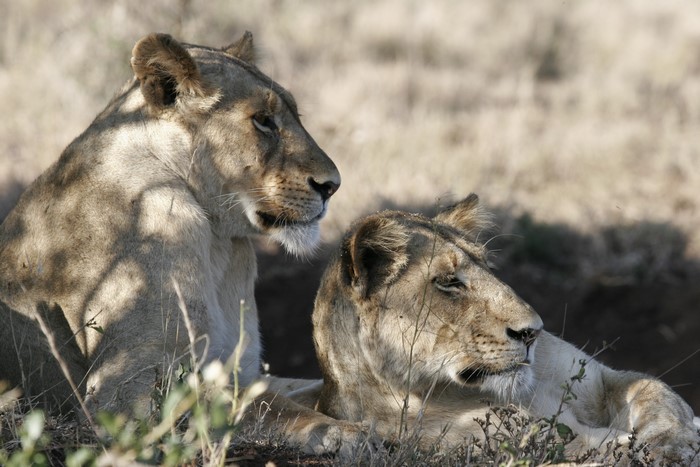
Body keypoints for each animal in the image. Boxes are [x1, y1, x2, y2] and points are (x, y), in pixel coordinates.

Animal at [0, 32, 365, 455]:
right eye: (263, 120)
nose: (332, 185)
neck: (219, 242)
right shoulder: (123, 397)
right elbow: (264, 406)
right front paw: (349, 432)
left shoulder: (241, 368)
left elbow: (298, 390)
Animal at [310, 194, 700, 462]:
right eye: (448, 282)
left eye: (487, 267)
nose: (532, 332)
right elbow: (609, 451)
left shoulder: (604, 380)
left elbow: (658, 393)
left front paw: (671, 442)